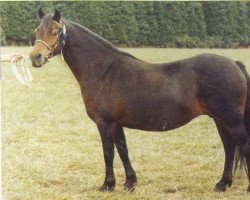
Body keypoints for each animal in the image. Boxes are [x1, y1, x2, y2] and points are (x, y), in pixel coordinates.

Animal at [29, 9, 250, 192]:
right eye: (37, 30)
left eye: (55, 31)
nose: (35, 57)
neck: (103, 71)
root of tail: (234, 63)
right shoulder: (116, 124)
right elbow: (123, 150)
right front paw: (130, 182)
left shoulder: (105, 123)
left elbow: (108, 153)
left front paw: (107, 185)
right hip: (220, 120)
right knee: (229, 147)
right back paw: (222, 184)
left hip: (231, 121)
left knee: (243, 145)